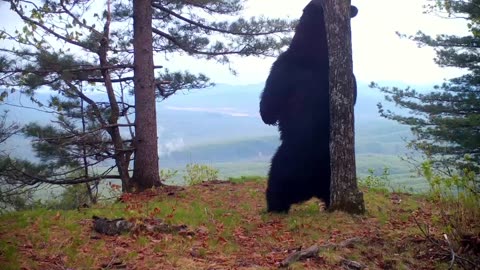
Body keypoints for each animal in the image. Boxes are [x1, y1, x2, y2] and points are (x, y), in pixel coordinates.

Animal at [258, 0, 356, 213]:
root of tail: (309, 188)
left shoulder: (281, 68)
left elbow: (268, 107)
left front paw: (266, 114)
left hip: (283, 164)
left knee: (275, 185)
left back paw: (274, 207)